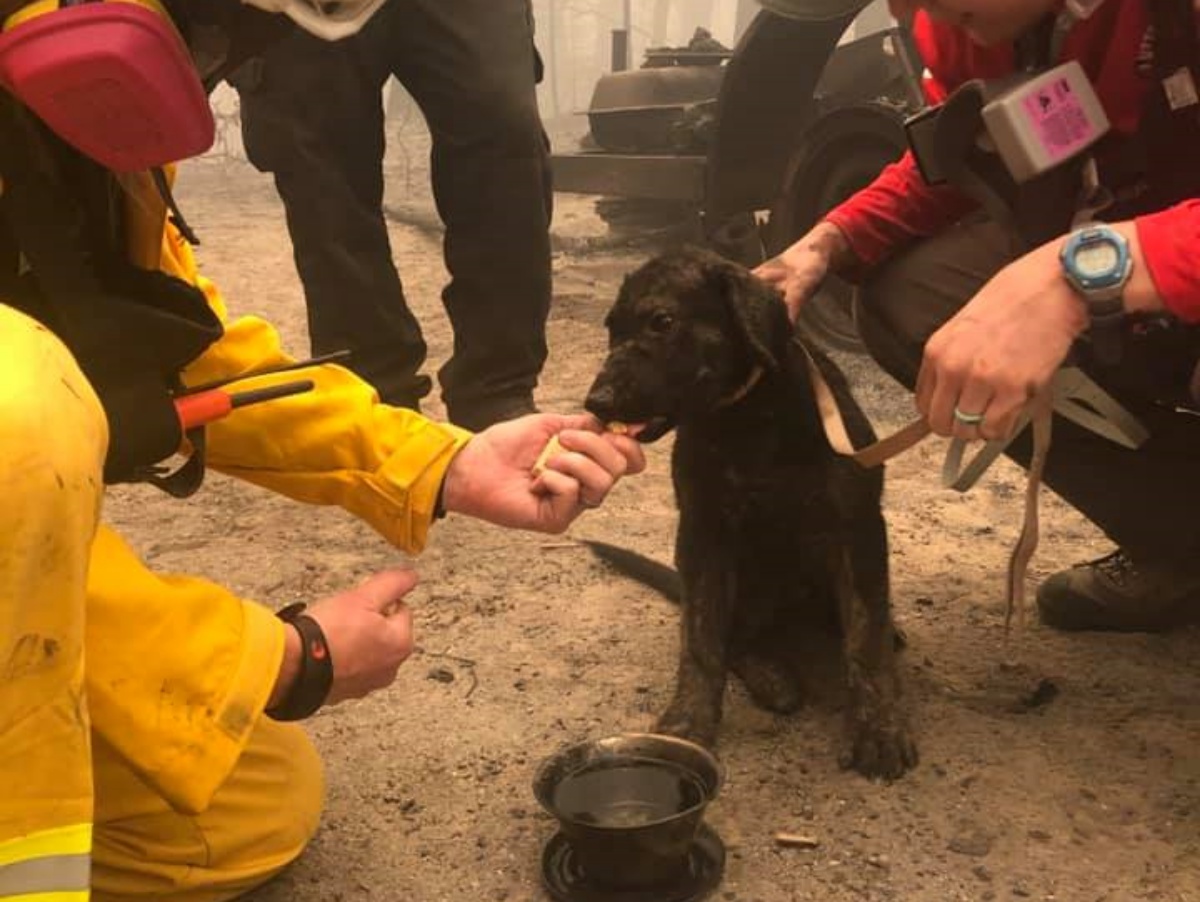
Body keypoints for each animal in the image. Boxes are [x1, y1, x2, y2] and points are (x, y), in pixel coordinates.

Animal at [585, 244, 912, 777]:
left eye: (662, 321)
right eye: (612, 328)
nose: (595, 402)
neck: (745, 416)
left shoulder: (857, 526)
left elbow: (863, 636)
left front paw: (878, 727)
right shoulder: (702, 534)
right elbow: (701, 638)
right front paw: (687, 723)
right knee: (737, 635)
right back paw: (769, 674)